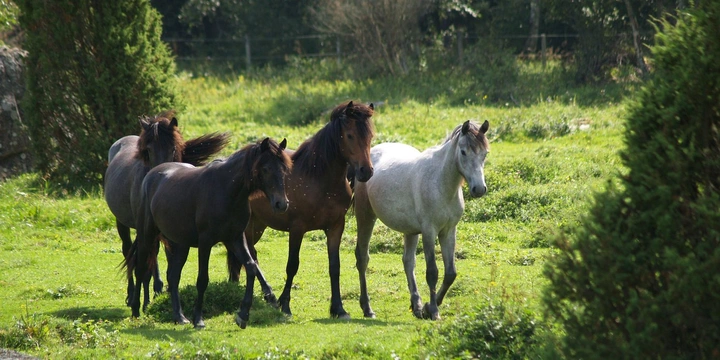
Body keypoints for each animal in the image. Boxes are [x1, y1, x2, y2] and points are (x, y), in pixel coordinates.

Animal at [102, 110, 228, 310]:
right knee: (128, 250)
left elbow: (169, 260)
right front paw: (145, 300)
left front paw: (166, 293)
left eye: (173, 149)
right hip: (123, 222)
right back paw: (132, 294)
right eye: (148, 150)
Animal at [128, 138, 292, 330]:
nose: (282, 204)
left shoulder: (235, 238)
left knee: (173, 276)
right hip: (147, 236)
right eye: (266, 168)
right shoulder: (206, 242)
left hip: (180, 243)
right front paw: (198, 319)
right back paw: (136, 311)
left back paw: (179, 316)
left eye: (284, 169)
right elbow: (202, 280)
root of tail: (151, 175)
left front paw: (243, 315)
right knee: (140, 269)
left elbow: (251, 267)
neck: (227, 190)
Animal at [236, 100, 376, 318]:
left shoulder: (336, 227)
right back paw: (270, 295)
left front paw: (338, 308)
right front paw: (285, 305)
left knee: (252, 254)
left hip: (258, 225)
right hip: (248, 226)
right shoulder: (297, 228)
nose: (366, 171)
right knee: (250, 255)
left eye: (370, 136)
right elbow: (292, 265)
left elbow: (334, 266)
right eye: (350, 135)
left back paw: (267, 295)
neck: (319, 179)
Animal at [352, 119, 490, 320]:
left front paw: (427, 307)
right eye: (464, 151)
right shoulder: (429, 231)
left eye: (485, 153)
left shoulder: (448, 231)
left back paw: (416, 306)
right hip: (366, 217)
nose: (479, 189)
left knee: (408, 262)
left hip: (410, 231)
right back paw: (367, 308)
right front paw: (433, 311)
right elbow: (432, 272)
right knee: (363, 258)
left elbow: (450, 273)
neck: (441, 183)